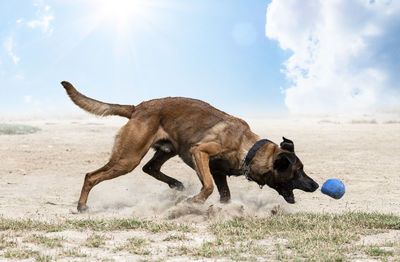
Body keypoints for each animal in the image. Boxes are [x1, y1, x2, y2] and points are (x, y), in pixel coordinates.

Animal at [60, 81, 318, 212]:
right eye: (298, 171)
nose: (316, 185)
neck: (248, 147)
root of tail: (137, 107)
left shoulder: (217, 171)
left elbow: (224, 194)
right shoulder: (200, 153)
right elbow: (208, 187)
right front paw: (194, 202)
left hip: (167, 149)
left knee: (150, 168)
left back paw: (176, 184)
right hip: (128, 158)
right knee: (91, 176)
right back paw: (82, 206)